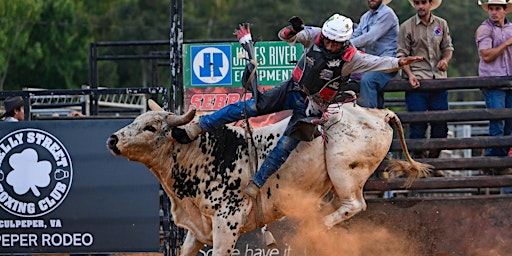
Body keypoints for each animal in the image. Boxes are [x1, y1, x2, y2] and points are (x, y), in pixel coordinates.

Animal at [106, 100, 430, 256]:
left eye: (150, 127)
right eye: (136, 121)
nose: (112, 139)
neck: (202, 153)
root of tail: (380, 113)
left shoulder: (228, 221)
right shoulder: (198, 227)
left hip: (344, 170)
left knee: (354, 204)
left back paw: (313, 229)